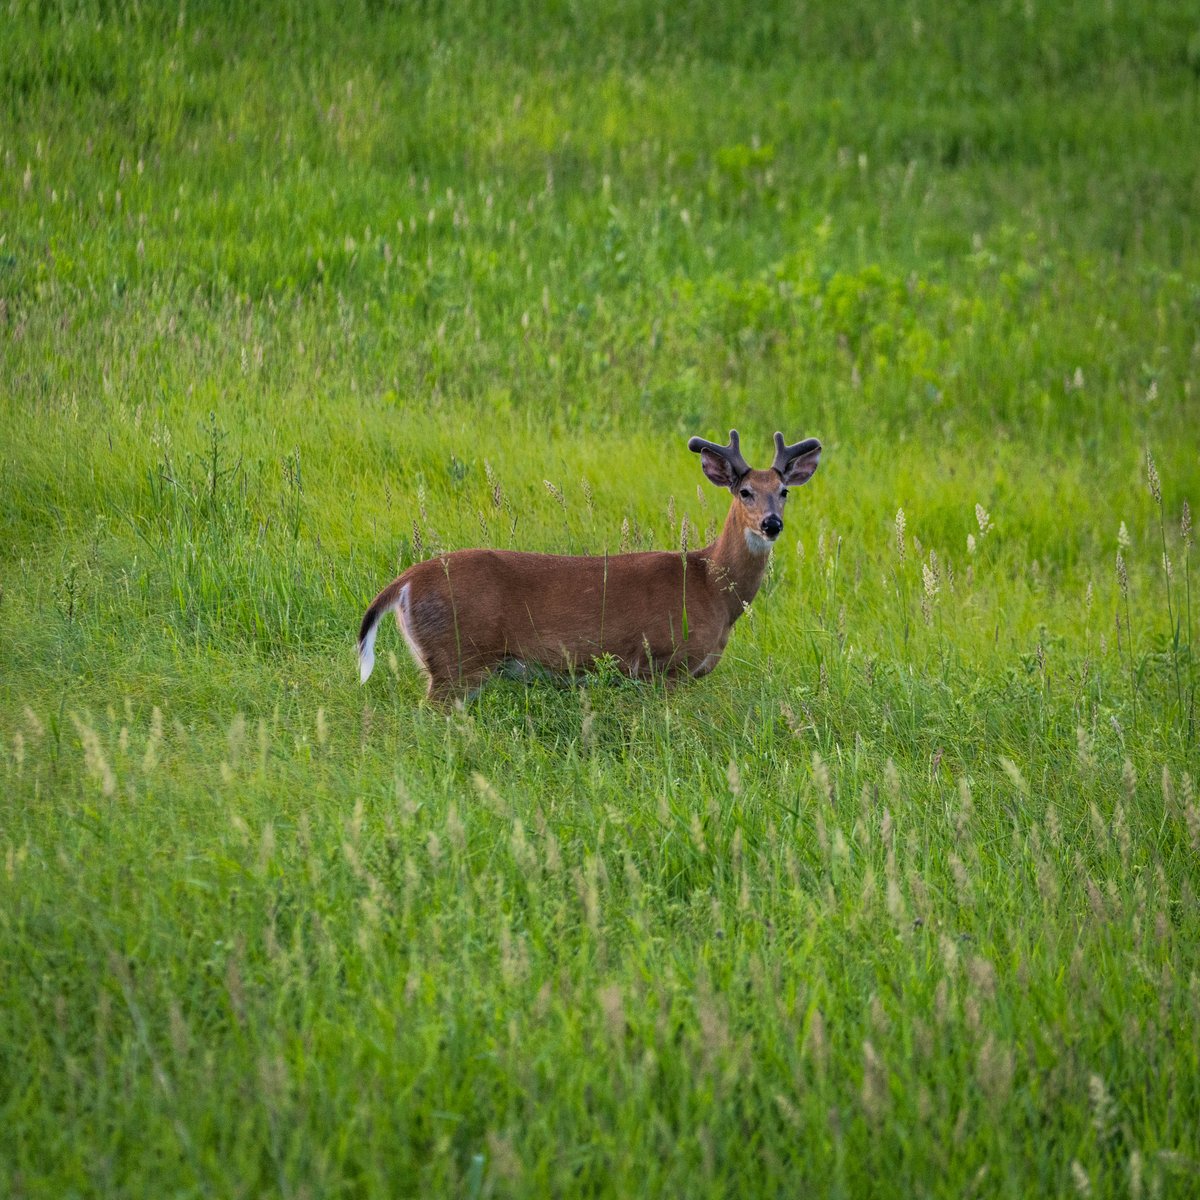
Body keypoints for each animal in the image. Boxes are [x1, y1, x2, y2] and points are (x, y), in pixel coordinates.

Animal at [357, 430, 821, 704]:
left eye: (783, 491)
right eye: (744, 491)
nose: (772, 523)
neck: (710, 585)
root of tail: (405, 582)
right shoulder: (663, 663)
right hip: (457, 657)